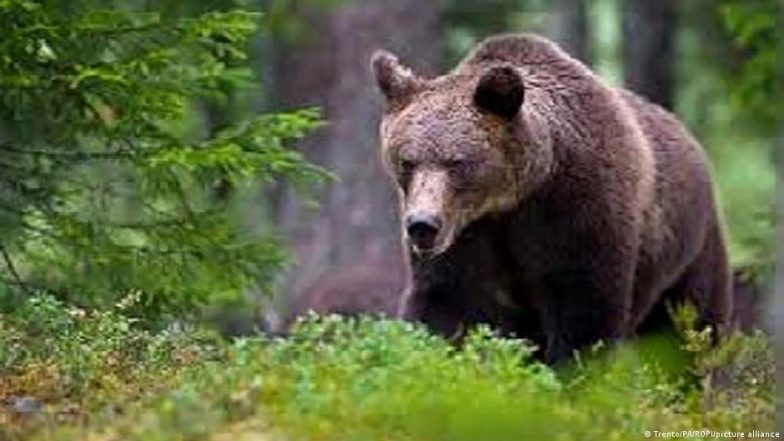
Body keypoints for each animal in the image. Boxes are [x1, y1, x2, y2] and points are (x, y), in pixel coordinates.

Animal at [370, 34, 734, 363]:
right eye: (407, 161)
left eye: (457, 162)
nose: (422, 225)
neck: (512, 197)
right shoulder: (468, 234)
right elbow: (445, 303)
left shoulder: (577, 209)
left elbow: (585, 313)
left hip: (690, 250)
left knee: (685, 330)